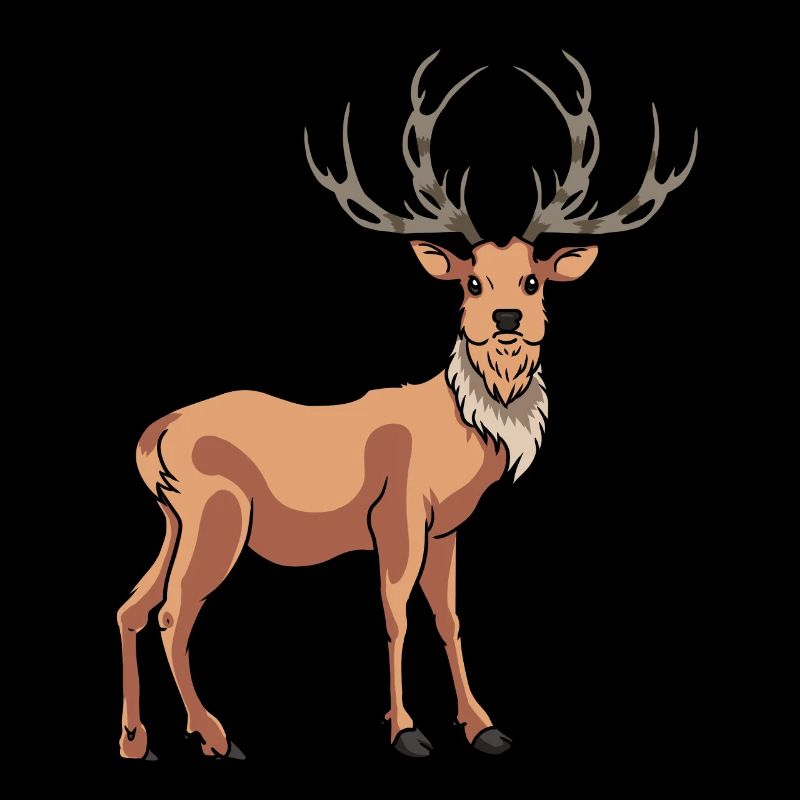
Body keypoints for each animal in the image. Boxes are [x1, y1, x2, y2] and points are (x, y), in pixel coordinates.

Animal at [117, 50, 696, 761]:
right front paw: (405, 731)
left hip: (173, 518)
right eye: (471, 281)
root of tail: (154, 435)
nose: (507, 318)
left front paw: (484, 726)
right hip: (217, 512)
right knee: (174, 611)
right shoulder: (397, 512)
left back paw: (135, 740)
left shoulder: (447, 527)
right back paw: (215, 735)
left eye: (533, 279)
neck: (465, 435)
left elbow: (449, 616)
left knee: (133, 605)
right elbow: (395, 614)